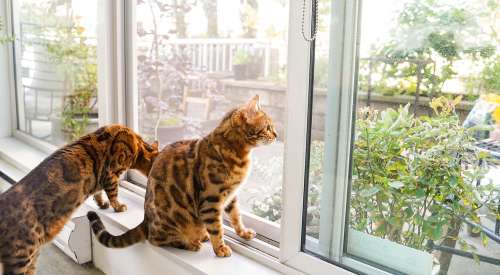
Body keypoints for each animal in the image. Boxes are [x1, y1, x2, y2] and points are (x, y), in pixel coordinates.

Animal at [0, 125, 158, 275]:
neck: (137, 143)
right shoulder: (111, 174)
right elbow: (113, 194)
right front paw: (118, 207)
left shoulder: (102, 180)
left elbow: (98, 193)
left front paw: (102, 204)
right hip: (21, 257)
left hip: (33, 255)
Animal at [89, 96, 278, 258]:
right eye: (268, 127)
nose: (277, 135)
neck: (237, 153)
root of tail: (146, 221)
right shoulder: (211, 200)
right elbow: (217, 228)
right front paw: (220, 248)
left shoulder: (231, 195)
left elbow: (236, 217)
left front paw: (243, 233)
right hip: (174, 221)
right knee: (156, 240)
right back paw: (191, 243)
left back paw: (202, 236)